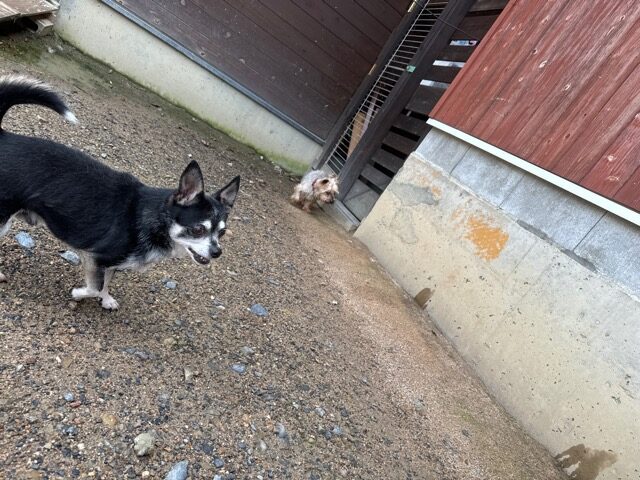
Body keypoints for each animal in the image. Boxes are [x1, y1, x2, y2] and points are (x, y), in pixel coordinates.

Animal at [0, 75, 240, 310]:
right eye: (198, 229)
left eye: (222, 233)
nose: (217, 252)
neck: (152, 219)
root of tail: (4, 136)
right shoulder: (95, 257)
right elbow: (95, 286)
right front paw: (78, 293)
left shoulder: (111, 264)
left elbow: (106, 283)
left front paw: (106, 299)